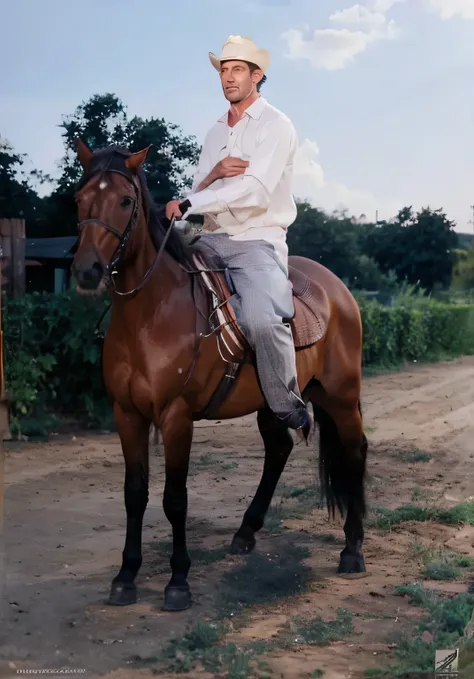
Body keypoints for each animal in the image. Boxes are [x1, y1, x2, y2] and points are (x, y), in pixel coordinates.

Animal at [72, 141, 368, 612]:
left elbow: (175, 498)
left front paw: (178, 582)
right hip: (275, 399)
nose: (87, 270)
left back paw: (353, 550)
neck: (149, 314)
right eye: (79, 199)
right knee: (279, 450)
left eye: (124, 201)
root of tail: (338, 289)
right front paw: (126, 576)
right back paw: (246, 532)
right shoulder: (127, 414)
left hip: (340, 396)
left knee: (355, 454)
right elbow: (135, 494)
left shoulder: (175, 417)